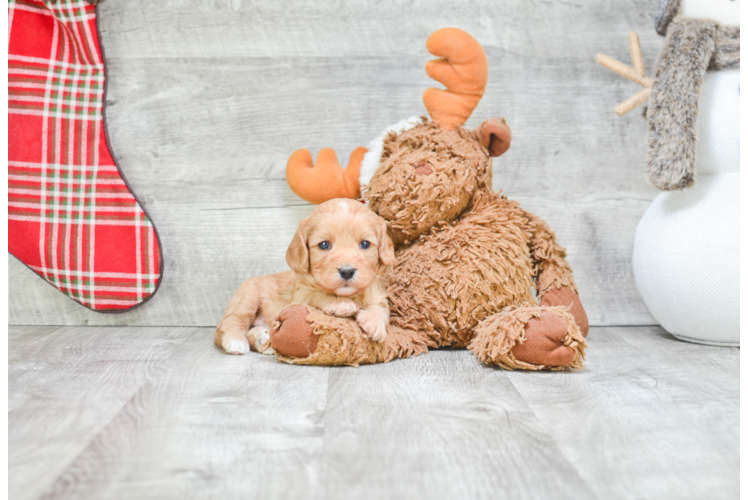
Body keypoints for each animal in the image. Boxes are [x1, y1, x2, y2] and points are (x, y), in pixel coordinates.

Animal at [215, 197, 398, 354]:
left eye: (365, 244)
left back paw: (263, 339)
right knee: (230, 322)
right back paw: (236, 341)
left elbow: (382, 307)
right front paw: (340, 304)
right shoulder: (299, 297)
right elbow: (316, 295)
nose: (347, 271)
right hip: (248, 296)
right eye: (324, 245)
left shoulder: (377, 292)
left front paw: (375, 324)